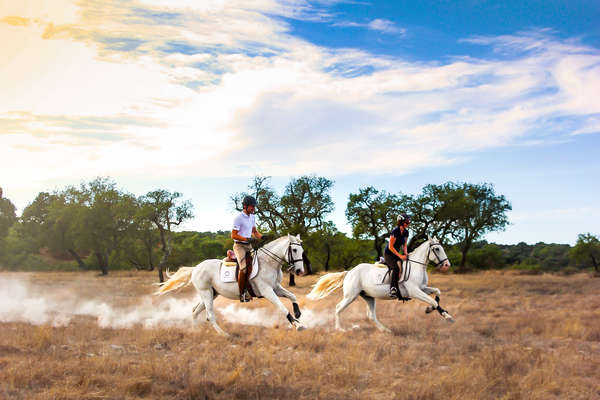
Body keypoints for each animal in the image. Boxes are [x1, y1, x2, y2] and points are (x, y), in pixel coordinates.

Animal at [156, 233, 304, 336]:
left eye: (302, 251)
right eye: (294, 250)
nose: (299, 271)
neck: (268, 263)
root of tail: (196, 268)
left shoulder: (276, 288)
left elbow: (292, 296)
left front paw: (297, 314)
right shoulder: (267, 291)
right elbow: (282, 308)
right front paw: (297, 325)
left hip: (211, 294)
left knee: (195, 311)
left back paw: (195, 331)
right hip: (206, 293)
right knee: (210, 315)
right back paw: (224, 334)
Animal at [310, 238, 454, 332]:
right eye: (437, 249)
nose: (447, 265)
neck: (416, 266)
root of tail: (349, 272)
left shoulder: (423, 288)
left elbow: (437, 292)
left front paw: (431, 309)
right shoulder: (415, 291)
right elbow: (433, 301)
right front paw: (447, 316)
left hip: (368, 297)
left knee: (371, 316)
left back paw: (385, 330)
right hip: (351, 296)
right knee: (338, 308)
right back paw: (340, 329)